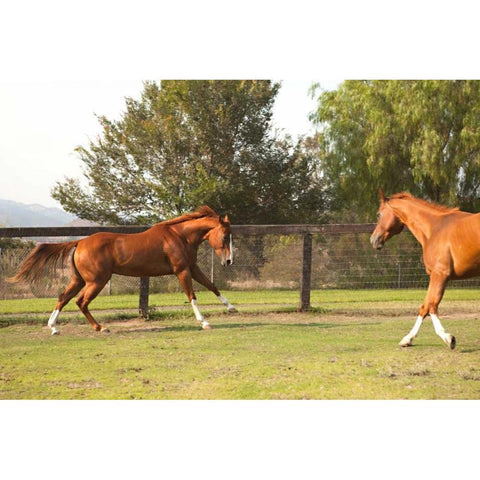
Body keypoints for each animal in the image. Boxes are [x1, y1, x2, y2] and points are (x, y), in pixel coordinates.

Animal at [8, 205, 236, 334]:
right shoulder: (182, 270)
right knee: (80, 302)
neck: (179, 236)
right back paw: (100, 327)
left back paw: (54, 327)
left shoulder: (192, 267)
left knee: (63, 297)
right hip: (97, 281)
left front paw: (231, 308)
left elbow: (212, 286)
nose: (229, 261)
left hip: (79, 280)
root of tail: (80, 242)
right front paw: (204, 322)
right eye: (226, 236)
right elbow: (192, 296)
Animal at [372, 189, 480, 350]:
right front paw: (408, 339)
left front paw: (448, 338)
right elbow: (424, 307)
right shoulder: (434, 276)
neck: (435, 229)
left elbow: (432, 306)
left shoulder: (440, 275)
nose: (373, 240)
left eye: (379, 214)